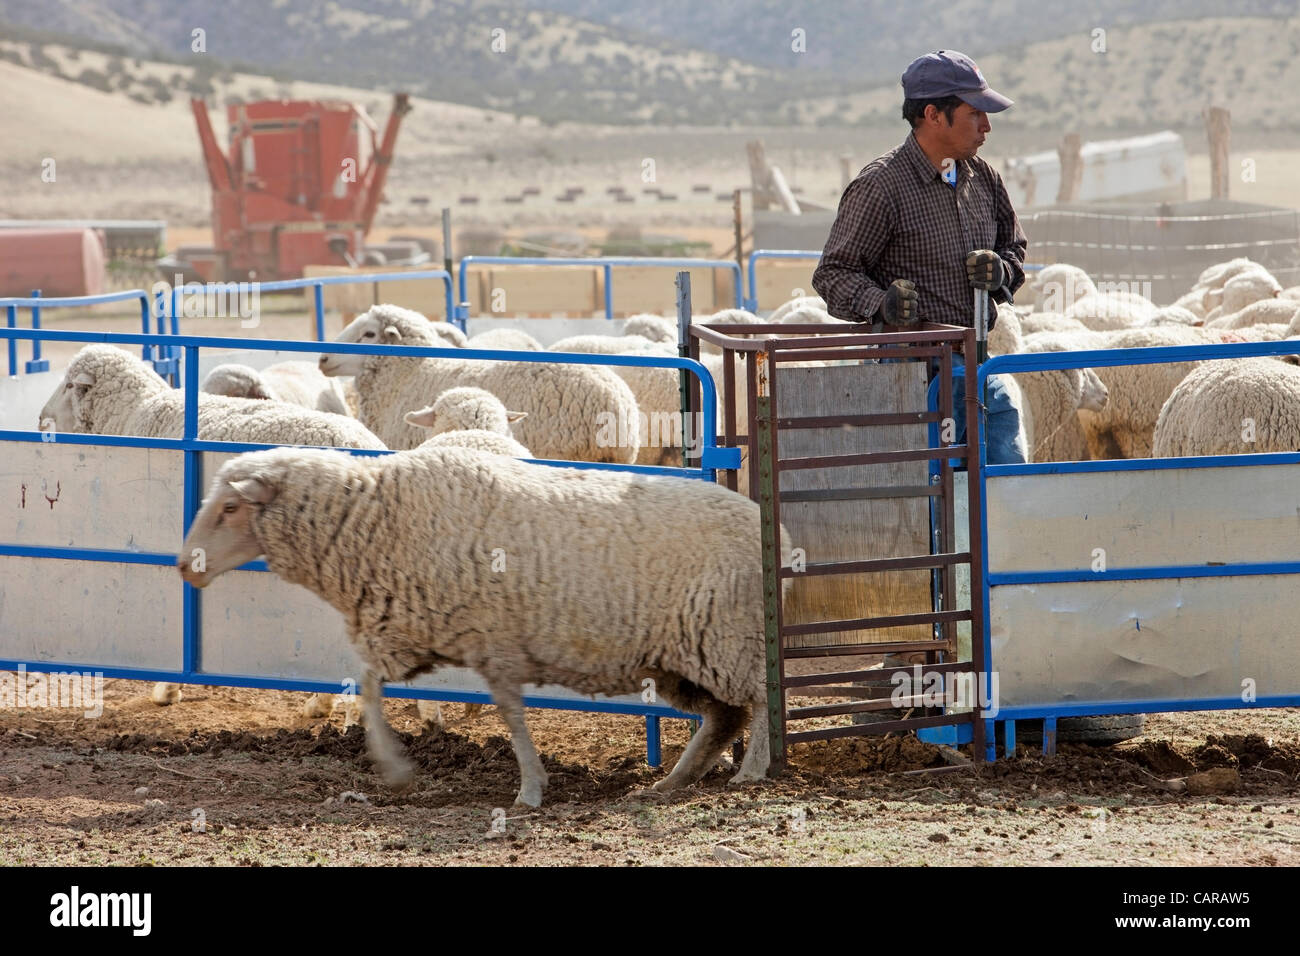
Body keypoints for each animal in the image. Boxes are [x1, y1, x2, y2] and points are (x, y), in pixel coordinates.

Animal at [178, 444, 782, 806]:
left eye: (230, 508)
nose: (185, 565)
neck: (374, 520)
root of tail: (765, 522)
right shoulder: (411, 637)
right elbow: (370, 687)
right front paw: (395, 766)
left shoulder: (495, 646)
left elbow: (511, 717)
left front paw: (528, 789)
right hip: (681, 659)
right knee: (723, 718)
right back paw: (671, 782)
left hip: (731, 637)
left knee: (763, 696)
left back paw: (752, 771)